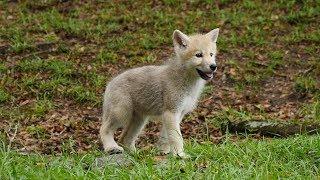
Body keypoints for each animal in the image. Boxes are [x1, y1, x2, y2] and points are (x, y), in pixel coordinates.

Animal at [100, 28, 220, 158]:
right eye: (198, 55)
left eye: (211, 54)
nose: (213, 66)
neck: (186, 82)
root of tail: (110, 83)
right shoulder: (171, 113)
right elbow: (177, 137)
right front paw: (180, 155)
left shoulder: (177, 115)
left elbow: (166, 137)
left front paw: (164, 152)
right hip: (121, 113)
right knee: (104, 129)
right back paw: (112, 148)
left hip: (139, 121)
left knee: (125, 139)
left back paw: (136, 155)